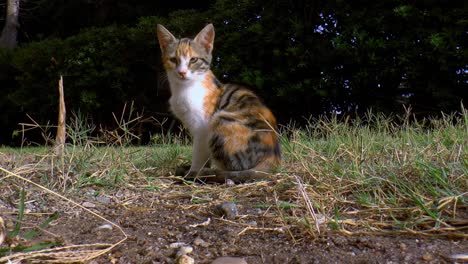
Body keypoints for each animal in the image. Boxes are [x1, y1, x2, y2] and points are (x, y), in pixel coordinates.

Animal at [156, 23, 282, 183]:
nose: (182, 72)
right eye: (173, 60)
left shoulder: (202, 129)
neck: (185, 88)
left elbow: (199, 154)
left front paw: (193, 172)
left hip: (220, 120)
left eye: (193, 60)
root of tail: (274, 158)